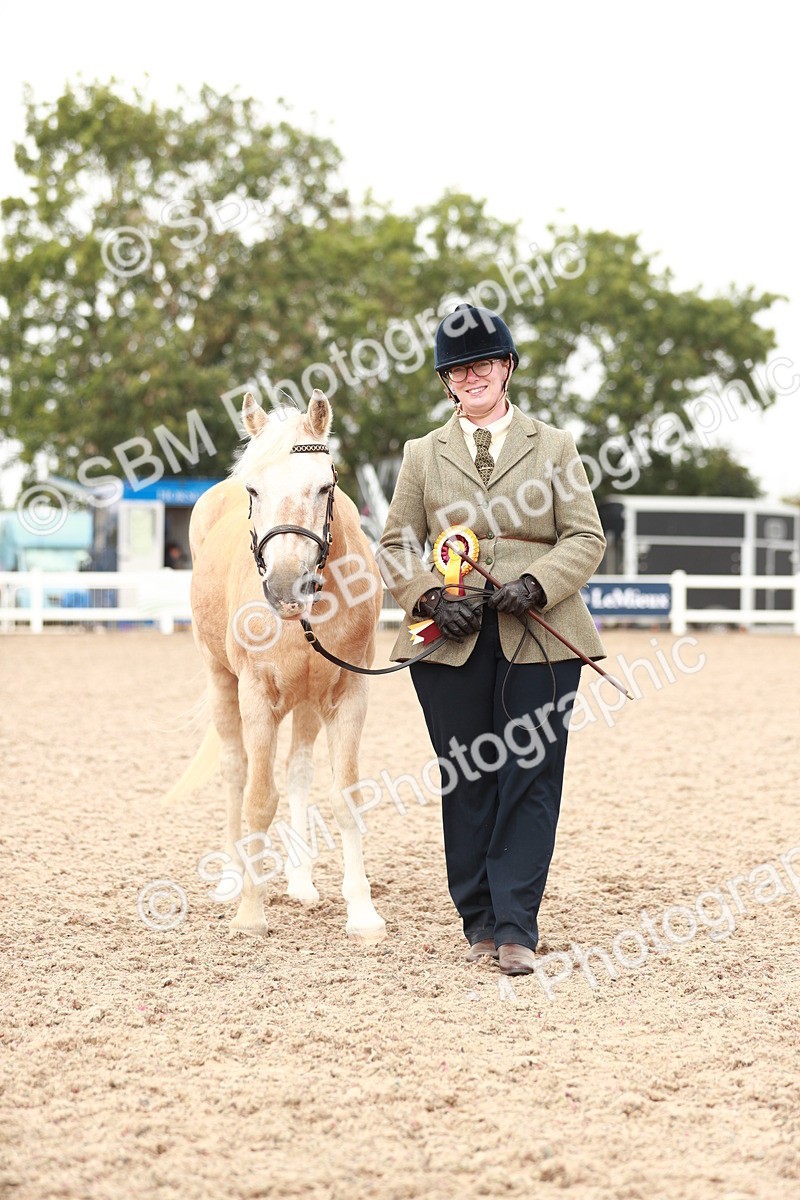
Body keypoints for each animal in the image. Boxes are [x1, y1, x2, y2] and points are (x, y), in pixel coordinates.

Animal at [183, 387, 386, 942]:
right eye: (254, 489)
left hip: (307, 699)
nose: (285, 587)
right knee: (236, 771)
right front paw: (251, 913)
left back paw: (299, 881)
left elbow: (344, 796)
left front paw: (361, 912)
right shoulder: (256, 695)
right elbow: (258, 798)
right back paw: (234, 879)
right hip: (220, 681)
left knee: (297, 771)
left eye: (324, 485)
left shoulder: (348, 694)